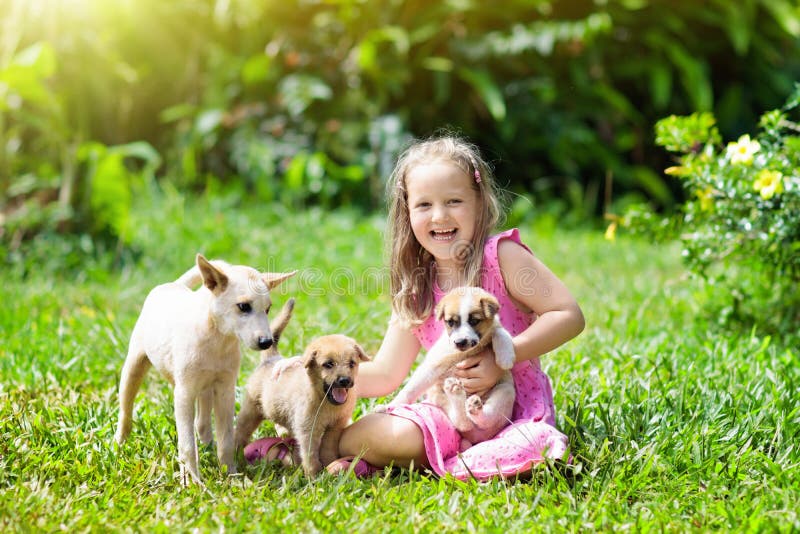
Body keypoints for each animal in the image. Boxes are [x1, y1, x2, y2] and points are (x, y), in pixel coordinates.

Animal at [114, 253, 296, 488]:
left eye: (267, 309)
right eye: (243, 306)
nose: (267, 342)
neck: (217, 340)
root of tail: (173, 285)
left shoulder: (226, 390)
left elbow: (226, 440)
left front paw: (231, 476)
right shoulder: (183, 393)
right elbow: (187, 445)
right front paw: (191, 482)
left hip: (206, 388)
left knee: (202, 423)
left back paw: (208, 447)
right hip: (134, 366)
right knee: (126, 411)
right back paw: (119, 444)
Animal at [231, 336, 368, 478]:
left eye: (352, 363)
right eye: (329, 364)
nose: (345, 380)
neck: (325, 402)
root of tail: (271, 358)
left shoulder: (335, 427)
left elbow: (327, 449)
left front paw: (329, 466)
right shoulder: (308, 431)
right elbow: (310, 457)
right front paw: (314, 477)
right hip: (250, 413)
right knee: (240, 433)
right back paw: (235, 455)